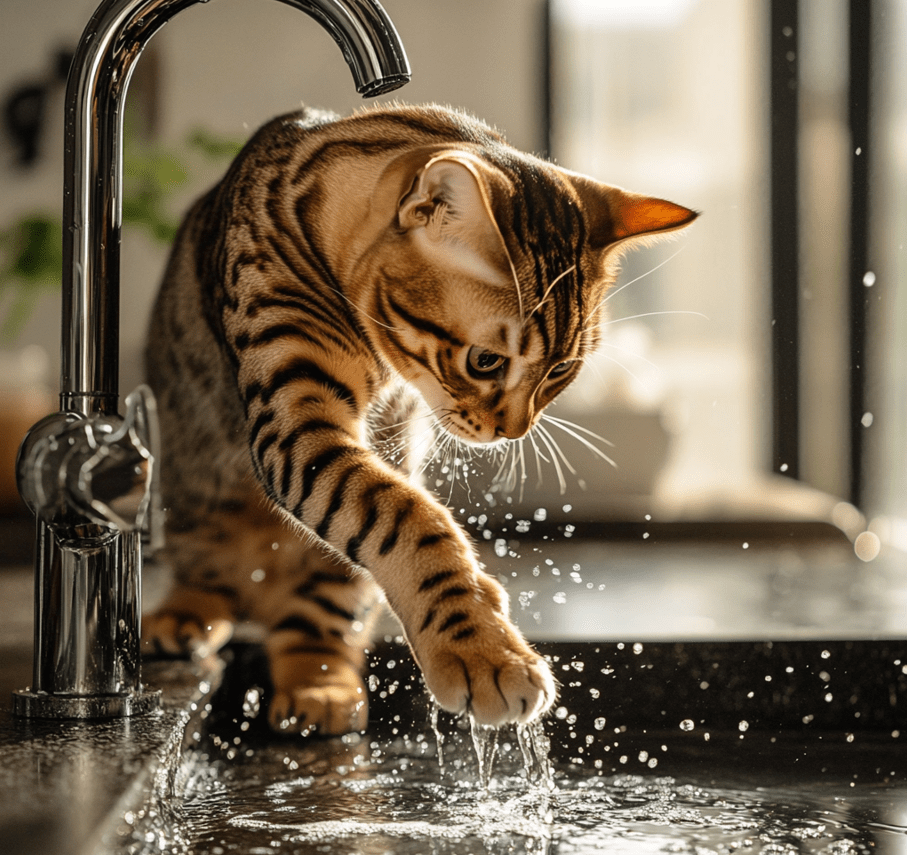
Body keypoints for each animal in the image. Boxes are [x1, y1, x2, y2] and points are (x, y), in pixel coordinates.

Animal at [142, 105, 700, 736]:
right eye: (486, 361)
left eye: (562, 370)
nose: (514, 429)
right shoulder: (292, 418)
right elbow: (406, 518)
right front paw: (483, 648)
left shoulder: (388, 435)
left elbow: (398, 514)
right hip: (190, 499)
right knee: (209, 576)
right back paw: (184, 615)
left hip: (333, 562)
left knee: (317, 618)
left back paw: (319, 685)